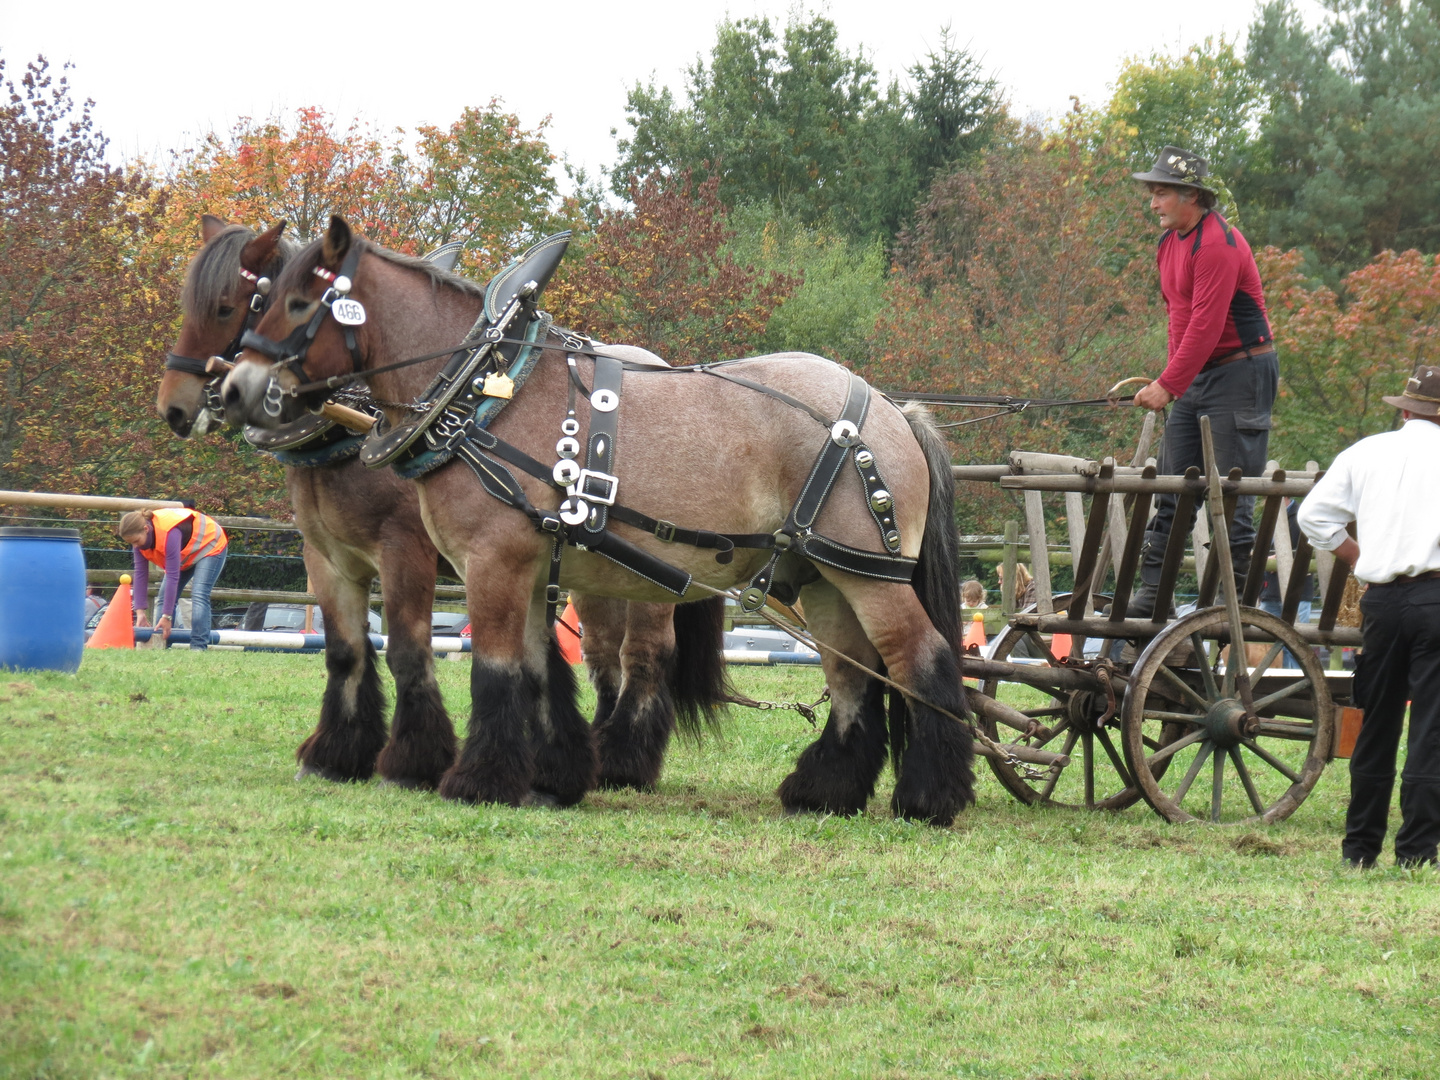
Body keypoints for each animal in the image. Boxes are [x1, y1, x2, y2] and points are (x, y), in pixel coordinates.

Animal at [162, 216, 725, 800]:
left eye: (229, 305)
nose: (176, 407)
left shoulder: (407, 550)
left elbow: (409, 649)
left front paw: (415, 761)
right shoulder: (329, 556)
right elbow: (346, 650)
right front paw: (336, 754)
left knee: (644, 654)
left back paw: (625, 761)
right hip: (597, 575)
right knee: (604, 655)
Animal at [224, 220, 979, 829]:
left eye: (298, 302)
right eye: (259, 298)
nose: (237, 390)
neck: (484, 393)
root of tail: (889, 408)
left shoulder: (485, 563)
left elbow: (492, 670)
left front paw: (474, 781)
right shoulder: (524, 571)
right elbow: (533, 672)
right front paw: (547, 779)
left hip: (868, 575)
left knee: (924, 660)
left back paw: (929, 799)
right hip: (823, 577)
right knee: (855, 678)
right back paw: (826, 791)